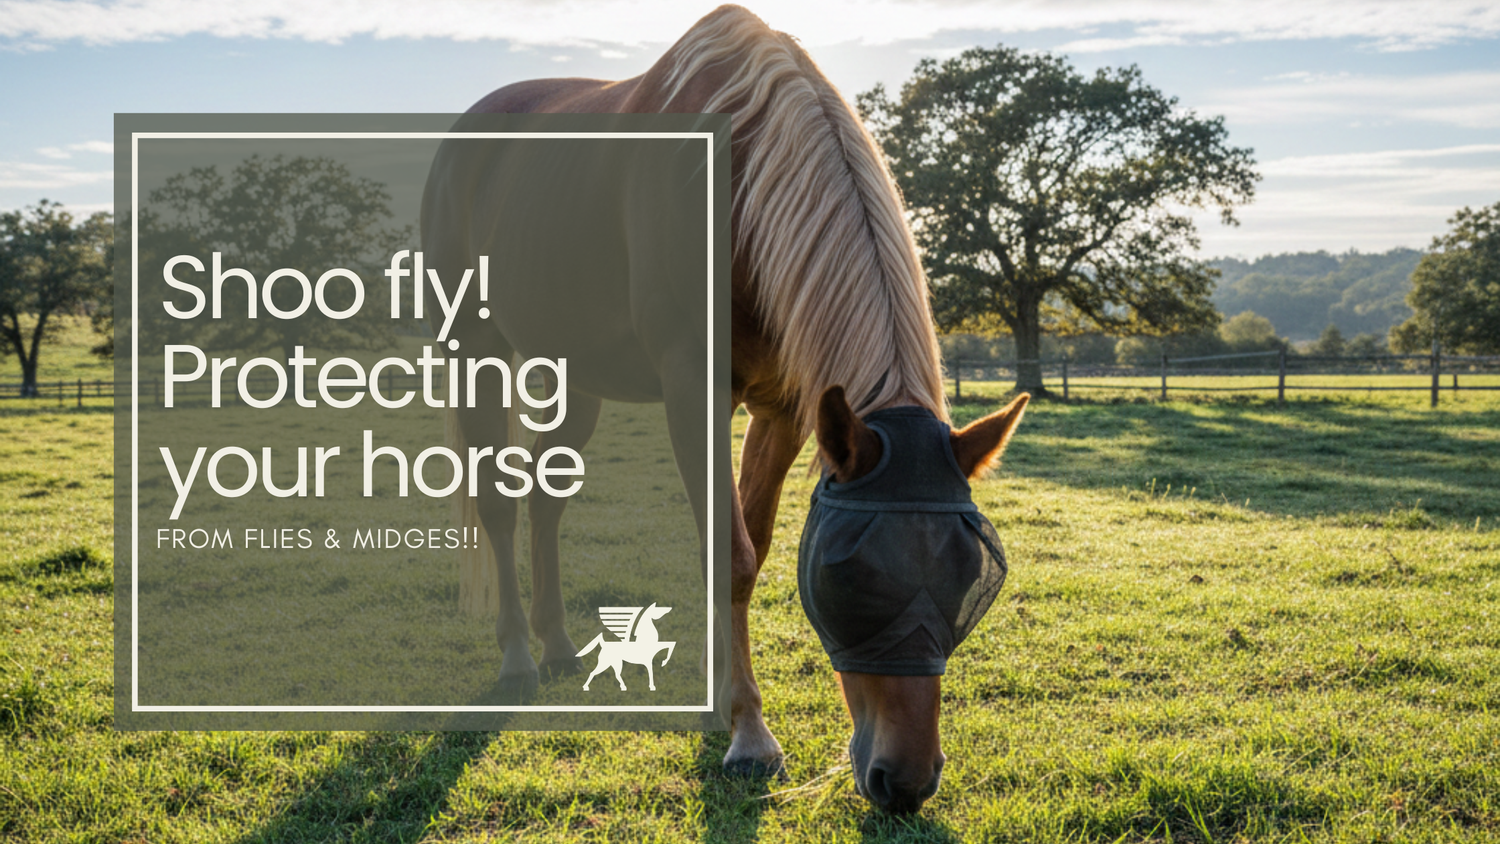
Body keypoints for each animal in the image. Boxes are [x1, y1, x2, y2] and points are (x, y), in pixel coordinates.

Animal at [423, 5, 1028, 813]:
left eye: (970, 579)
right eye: (849, 579)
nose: (905, 781)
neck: (734, 189)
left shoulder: (788, 409)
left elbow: (754, 547)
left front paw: (724, 705)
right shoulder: (692, 390)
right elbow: (728, 553)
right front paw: (748, 735)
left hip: (575, 375)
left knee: (546, 498)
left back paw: (556, 644)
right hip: (476, 352)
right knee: (496, 501)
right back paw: (519, 655)